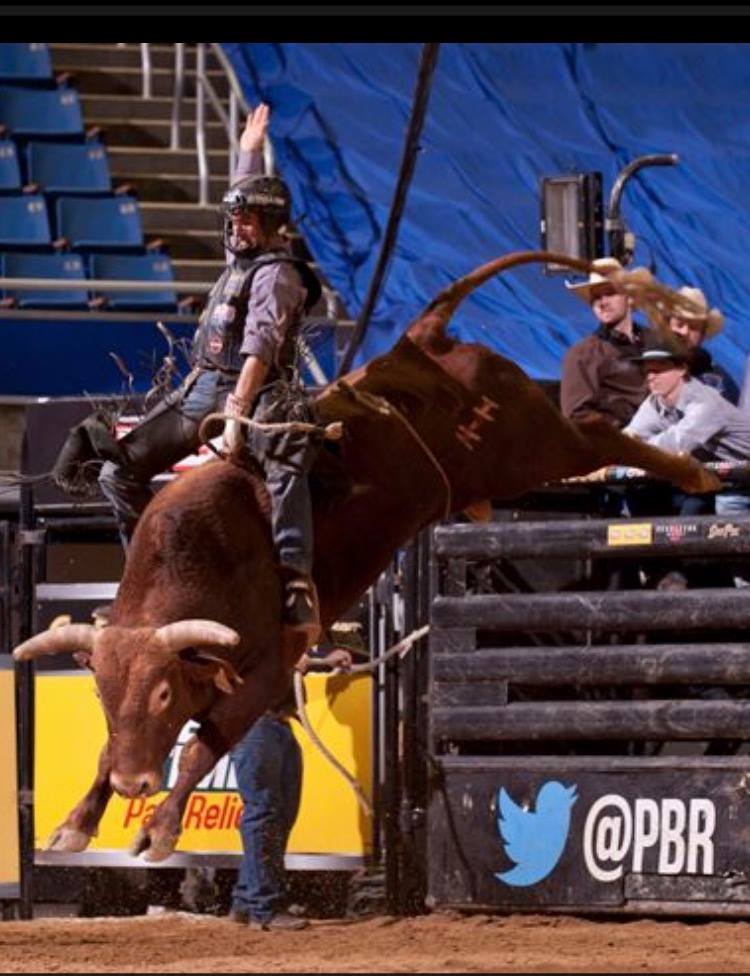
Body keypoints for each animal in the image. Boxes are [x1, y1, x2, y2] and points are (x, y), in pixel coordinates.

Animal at [13, 251, 719, 862]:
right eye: (102, 693)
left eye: (163, 693)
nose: (134, 784)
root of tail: (421, 340)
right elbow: (110, 751)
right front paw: (76, 823)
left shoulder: (270, 668)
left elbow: (202, 746)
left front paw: (159, 828)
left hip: (528, 446)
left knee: (595, 432)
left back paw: (697, 473)